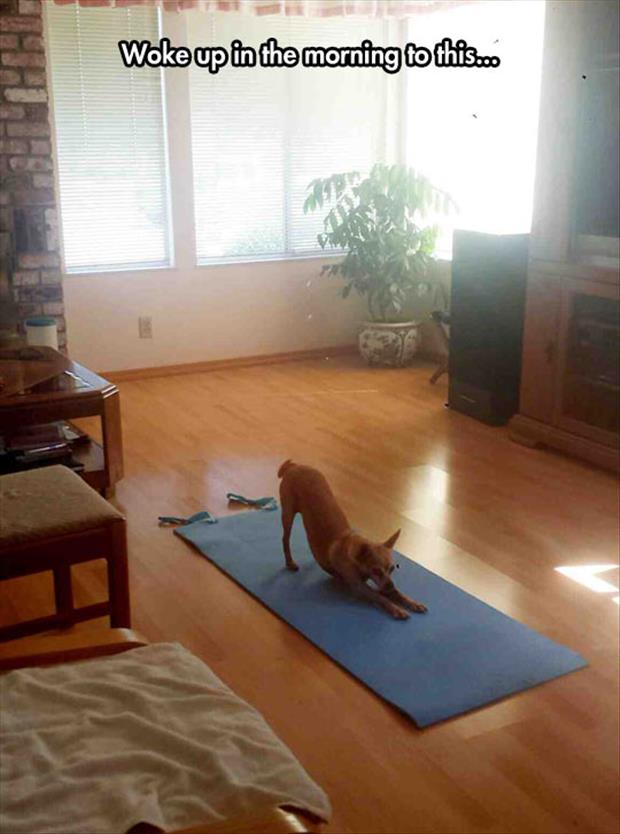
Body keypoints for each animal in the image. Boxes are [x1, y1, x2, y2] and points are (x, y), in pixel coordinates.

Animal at [278, 462, 426, 616]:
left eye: (392, 569)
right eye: (376, 571)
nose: (390, 585)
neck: (356, 560)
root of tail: (295, 465)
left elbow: (396, 593)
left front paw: (412, 602)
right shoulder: (359, 587)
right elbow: (379, 596)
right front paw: (396, 608)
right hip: (288, 514)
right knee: (285, 539)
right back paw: (290, 562)